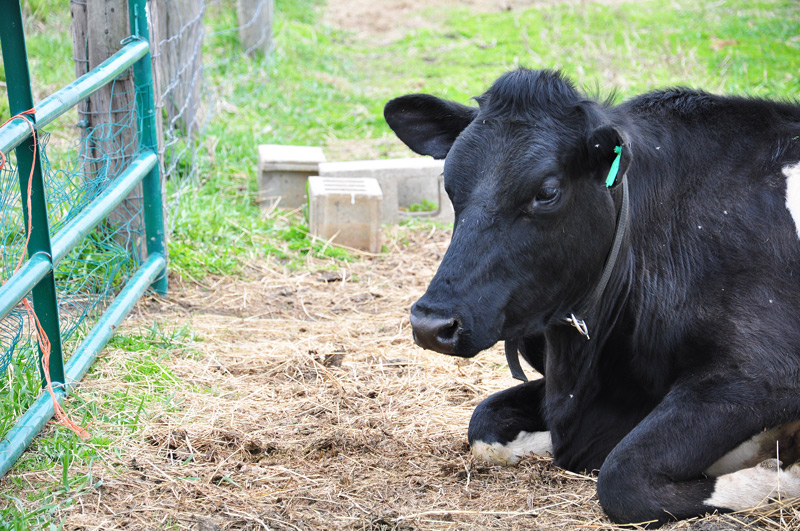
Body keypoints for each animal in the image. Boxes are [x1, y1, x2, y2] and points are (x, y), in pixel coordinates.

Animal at [383, 68, 800, 527]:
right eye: (450, 185)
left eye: (547, 192)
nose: (431, 324)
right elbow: (484, 423)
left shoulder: (764, 372)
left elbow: (622, 478)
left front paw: (779, 478)